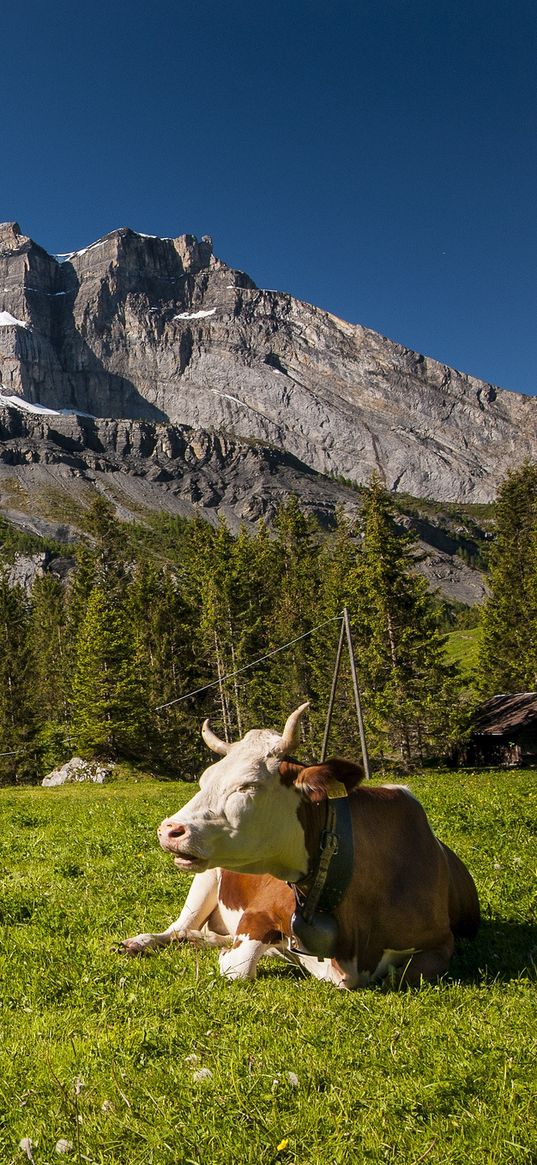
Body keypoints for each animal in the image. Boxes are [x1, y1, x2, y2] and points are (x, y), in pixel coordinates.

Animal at [121, 703, 477, 987]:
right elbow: (239, 966)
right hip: (205, 879)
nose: (169, 830)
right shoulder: (259, 912)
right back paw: (140, 941)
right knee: (176, 929)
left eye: (249, 785)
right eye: (204, 780)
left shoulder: (442, 941)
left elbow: (405, 975)